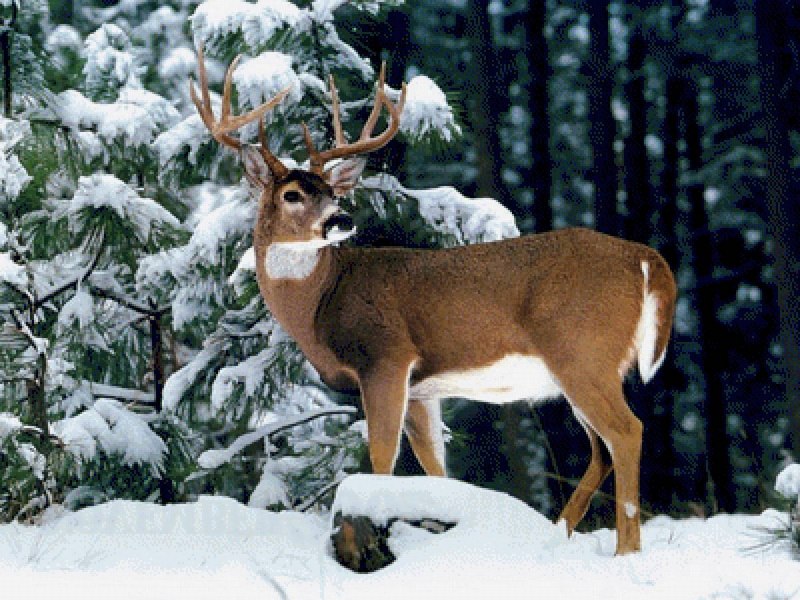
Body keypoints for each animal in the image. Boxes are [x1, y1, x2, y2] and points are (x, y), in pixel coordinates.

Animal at [190, 47, 677, 556]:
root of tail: (644, 257)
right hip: (583, 366)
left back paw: (625, 550)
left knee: (626, 432)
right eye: (292, 194)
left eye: (332, 192)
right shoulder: (422, 387)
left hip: (582, 351)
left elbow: (382, 458)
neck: (320, 303)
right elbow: (437, 470)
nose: (341, 220)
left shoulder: (385, 356)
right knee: (601, 451)